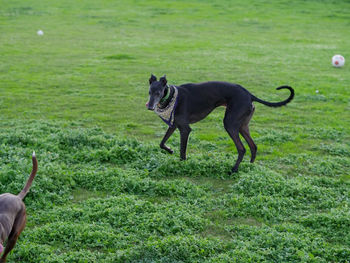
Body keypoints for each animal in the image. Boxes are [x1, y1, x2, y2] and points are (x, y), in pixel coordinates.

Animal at [146, 75, 294, 173]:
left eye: (158, 92)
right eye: (149, 92)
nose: (150, 107)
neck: (171, 96)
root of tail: (249, 94)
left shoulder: (185, 129)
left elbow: (183, 151)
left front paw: (183, 165)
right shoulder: (174, 125)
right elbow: (161, 143)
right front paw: (170, 150)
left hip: (230, 124)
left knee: (242, 148)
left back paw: (234, 169)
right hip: (242, 126)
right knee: (253, 146)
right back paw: (250, 167)